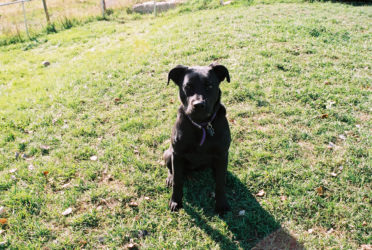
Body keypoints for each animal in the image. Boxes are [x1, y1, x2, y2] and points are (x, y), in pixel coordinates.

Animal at [164, 63, 231, 214]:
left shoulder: (222, 154)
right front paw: (175, 201)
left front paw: (221, 204)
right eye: (188, 86)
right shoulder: (177, 154)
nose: (198, 105)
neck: (201, 125)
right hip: (168, 154)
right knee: (172, 170)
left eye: (210, 86)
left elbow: (219, 183)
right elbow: (177, 180)